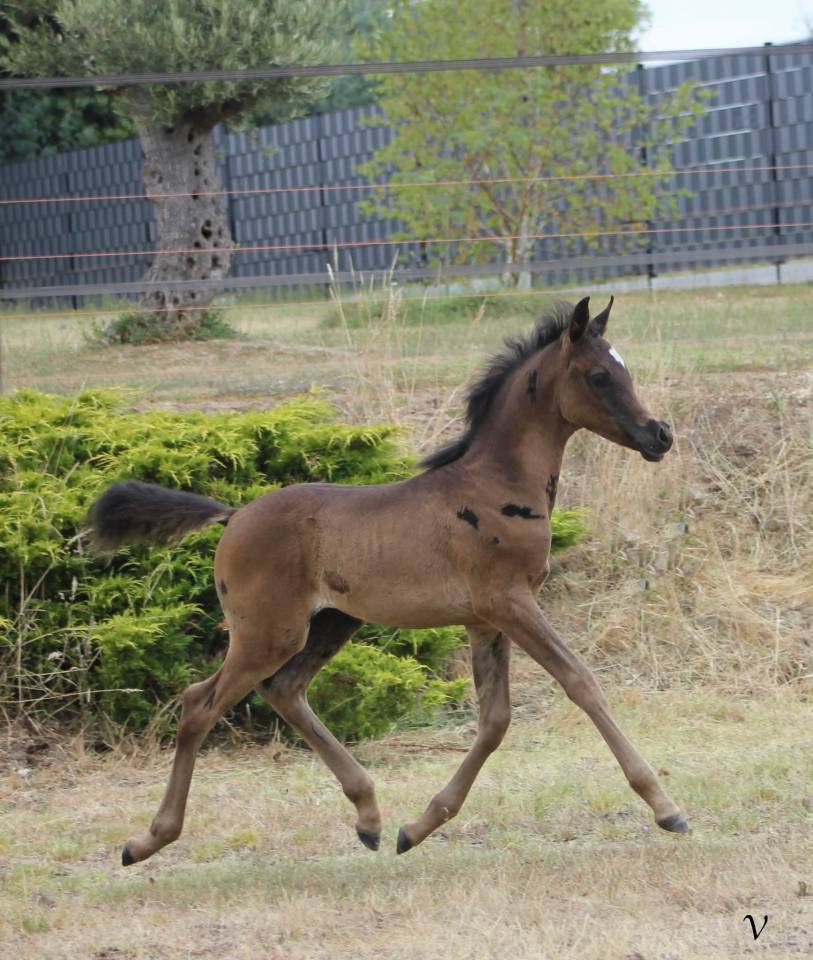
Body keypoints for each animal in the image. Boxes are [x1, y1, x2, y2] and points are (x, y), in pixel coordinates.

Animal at [86, 295, 688, 867]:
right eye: (599, 375)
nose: (660, 435)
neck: (493, 483)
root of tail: (231, 516)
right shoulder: (510, 603)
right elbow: (580, 682)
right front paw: (666, 807)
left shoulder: (484, 619)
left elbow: (494, 720)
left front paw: (418, 827)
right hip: (268, 633)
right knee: (200, 704)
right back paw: (148, 840)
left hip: (330, 623)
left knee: (285, 690)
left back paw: (370, 816)